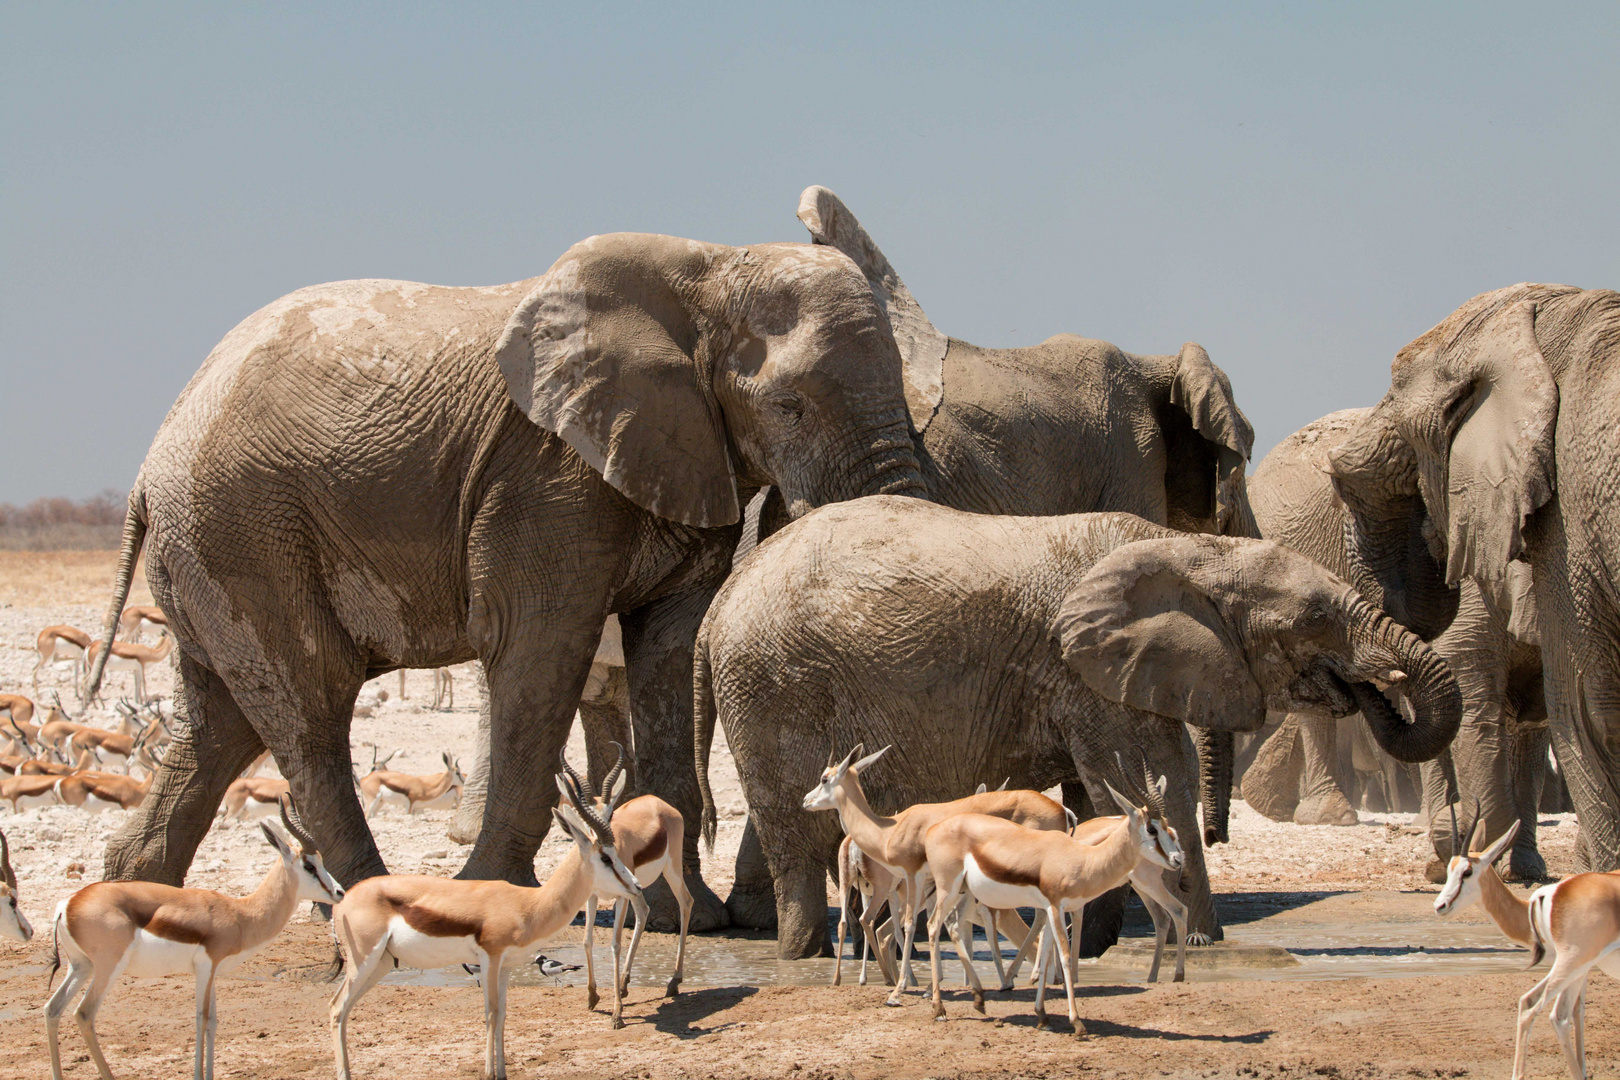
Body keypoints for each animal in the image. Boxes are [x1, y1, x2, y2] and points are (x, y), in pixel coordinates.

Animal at [85, 226, 926, 919]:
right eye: (788, 406)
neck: (712, 266)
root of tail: (148, 471)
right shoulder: (546, 475)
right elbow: (539, 646)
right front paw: (497, 894)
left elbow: (668, 647)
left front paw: (682, 916)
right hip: (244, 532)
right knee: (309, 706)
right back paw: (372, 905)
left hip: (211, 554)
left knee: (220, 720)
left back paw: (137, 897)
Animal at [690, 501, 1464, 965]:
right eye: (1314, 620)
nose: (1376, 688)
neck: (1189, 548)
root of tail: (719, 604)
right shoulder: (1087, 672)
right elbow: (1149, 778)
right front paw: (1199, 940)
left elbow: (1110, 794)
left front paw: (1094, 947)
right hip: (773, 686)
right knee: (795, 828)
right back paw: (806, 957)